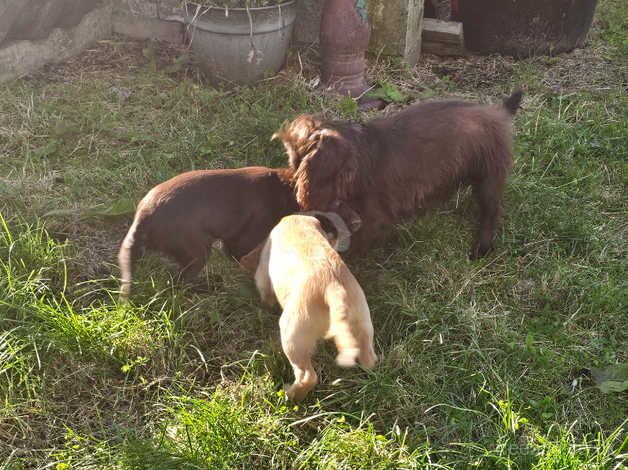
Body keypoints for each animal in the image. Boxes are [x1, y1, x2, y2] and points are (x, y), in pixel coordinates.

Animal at [253, 214, 376, 400]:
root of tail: (332, 286)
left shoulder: (263, 270)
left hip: (293, 336)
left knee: (307, 376)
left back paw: (290, 394)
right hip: (363, 323)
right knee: (368, 358)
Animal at [272, 91, 524, 260]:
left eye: (299, 161)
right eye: (291, 160)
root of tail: (497, 111)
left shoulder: (371, 220)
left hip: (489, 176)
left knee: (492, 210)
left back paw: (481, 246)